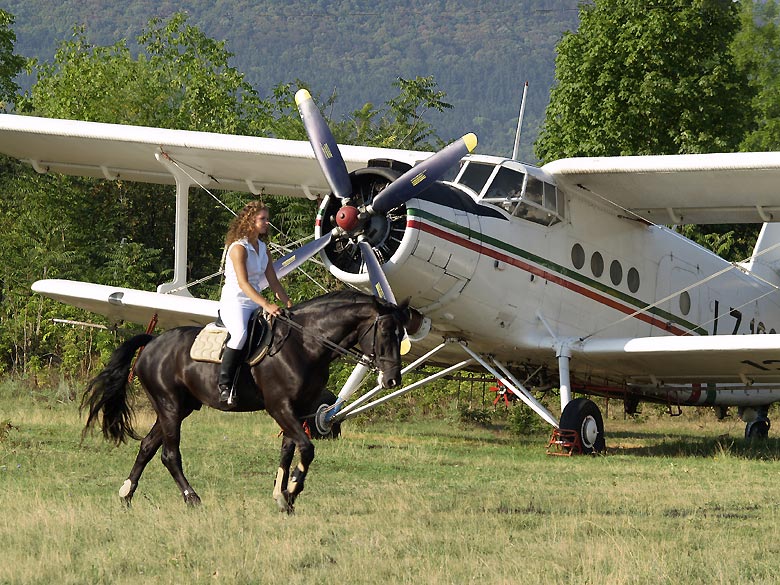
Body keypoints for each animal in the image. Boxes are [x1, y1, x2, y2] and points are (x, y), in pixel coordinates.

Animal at [79, 290, 408, 512]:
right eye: (385, 331)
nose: (393, 379)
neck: (305, 344)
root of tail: (152, 343)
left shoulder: (299, 410)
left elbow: (288, 450)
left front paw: (281, 496)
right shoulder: (280, 407)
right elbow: (306, 448)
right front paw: (292, 490)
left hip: (179, 407)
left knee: (148, 446)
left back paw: (127, 493)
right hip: (170, 405)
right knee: (169, 455)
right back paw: (192, 498)